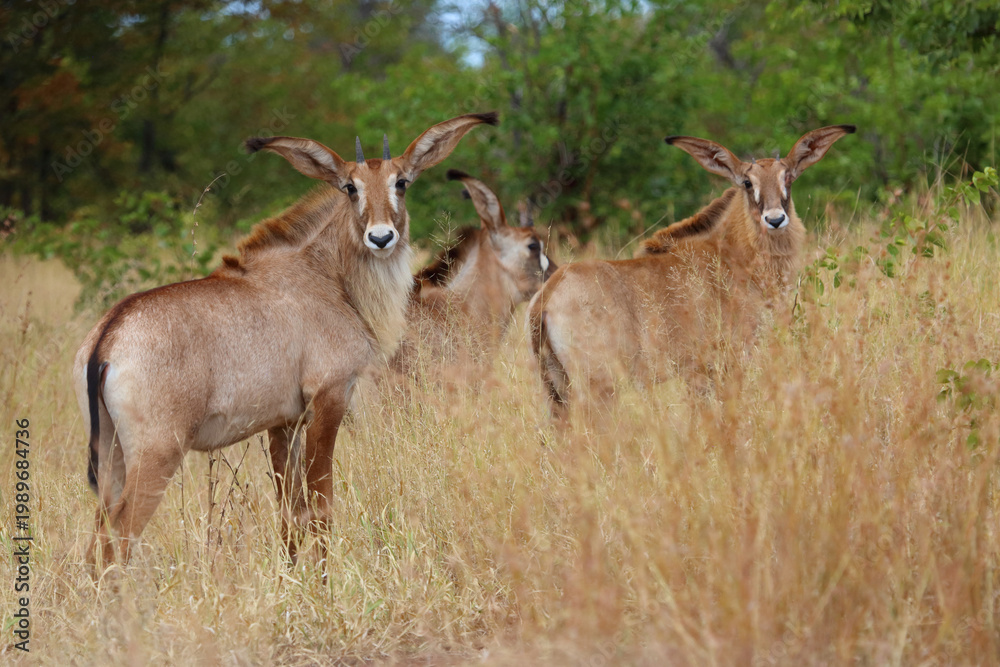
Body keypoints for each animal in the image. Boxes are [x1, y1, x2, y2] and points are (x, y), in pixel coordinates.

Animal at [74, 112, 499, 566]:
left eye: (401, 182)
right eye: (350, 187)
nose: (381, 237)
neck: (326, 276)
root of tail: (108, 337)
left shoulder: (283, 421)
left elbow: (290, 514)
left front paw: (294, 574)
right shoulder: (329, 397)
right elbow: (321, 506)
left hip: (112, 457)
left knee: (97, 541)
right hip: (156, 454)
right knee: (118, 539)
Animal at [528, 125, 855, 420]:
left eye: (788, 177)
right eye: (747, 183)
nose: (775, 220)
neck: (732, 257)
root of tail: (546, 297)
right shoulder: (715, 367)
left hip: (555, 389)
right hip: (599, 385)